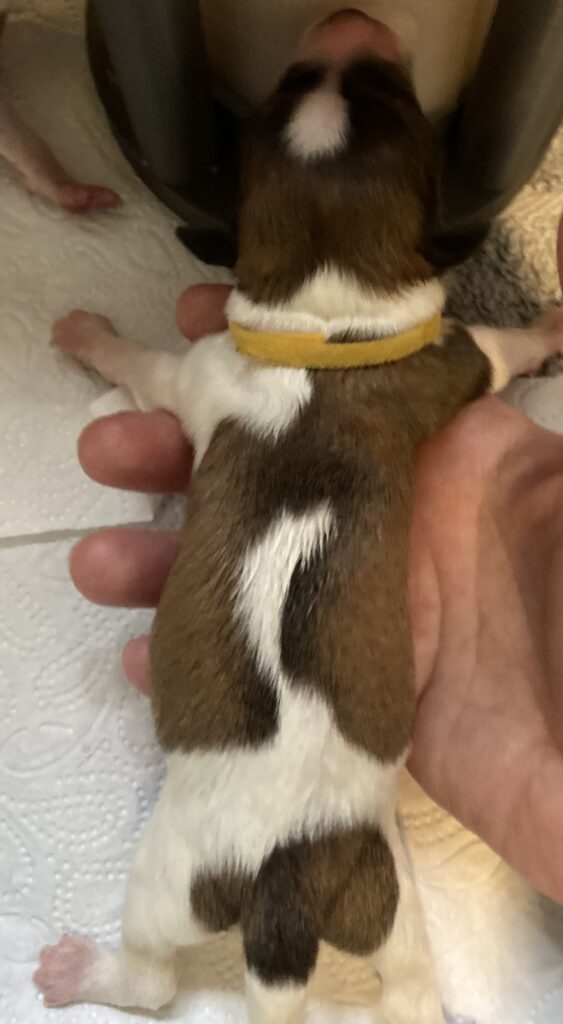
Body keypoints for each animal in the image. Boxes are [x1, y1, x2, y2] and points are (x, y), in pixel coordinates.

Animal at [34, 9, 563, 1023]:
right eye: (287, 93)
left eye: (391, 96)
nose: (350, 17)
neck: (327, 332)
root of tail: (283, 887)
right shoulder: (451, 359)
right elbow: (500, 349)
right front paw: (549, 330)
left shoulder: (193, 371)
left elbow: (142, 364)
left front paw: (89, 337)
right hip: (376, 892)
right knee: (409, 987)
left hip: (172, 878)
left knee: (152, 981)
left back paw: (81, 971)